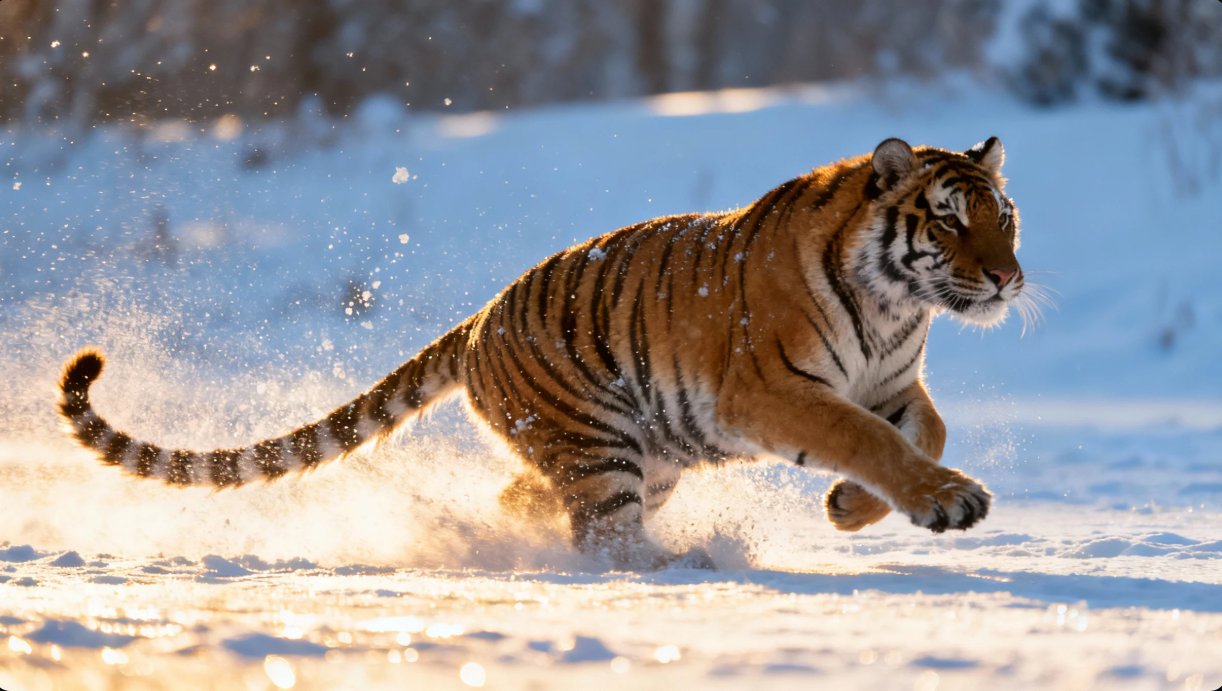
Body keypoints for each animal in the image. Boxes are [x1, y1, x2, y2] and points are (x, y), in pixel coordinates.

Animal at [59, 136, 1025, 569]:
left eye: (1004, 217)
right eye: (948, 219)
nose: (1009, 279)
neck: (899, 306)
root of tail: (477, 319)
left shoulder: (890, 383)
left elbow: (920, 435)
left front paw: (850, 507)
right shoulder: (776, 390)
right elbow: (872, 440)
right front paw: (945, 501)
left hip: (645, 450)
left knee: (527, 500)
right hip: (603, 443)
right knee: (604, 540)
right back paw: (686, 562)